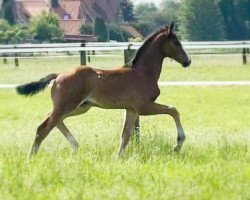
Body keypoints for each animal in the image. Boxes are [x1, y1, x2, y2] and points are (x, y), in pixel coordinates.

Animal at [16, 22, 191, 158]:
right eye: (176, 43)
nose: (187, 61)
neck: (142, 73)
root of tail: (58, 75)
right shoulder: (144, 107)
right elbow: (173, 110)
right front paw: (178, 144)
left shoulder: (131, 109)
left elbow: (126, 135)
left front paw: (118, 158)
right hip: (67, 106)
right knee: (43, 128)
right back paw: (31, 158)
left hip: (80, 107)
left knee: (53, 120)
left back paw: (75, 145)